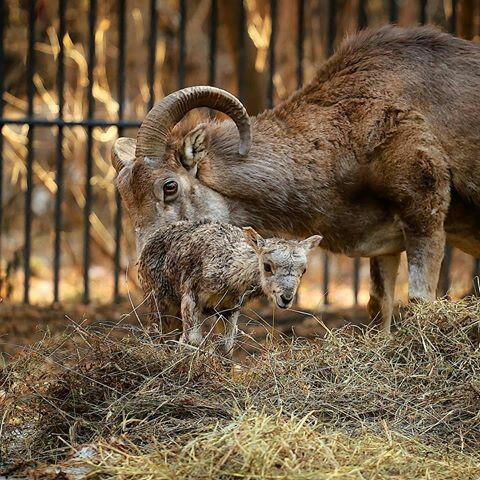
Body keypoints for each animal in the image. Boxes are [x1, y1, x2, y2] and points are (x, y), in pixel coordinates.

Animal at [111, 26, 480, 332]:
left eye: (169, 186)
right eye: (125, 192)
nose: (149, 269)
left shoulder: (424, 217)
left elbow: (419, 299)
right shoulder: (387, 245)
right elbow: (379, 305)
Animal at [137, 220, 320, 352]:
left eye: (304, 270)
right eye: (267, 266)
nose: (286, 298)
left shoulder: (229, 308)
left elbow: (226, 345)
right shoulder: (190, 295)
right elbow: (192, 340)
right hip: (156, 298)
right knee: (155, 332)